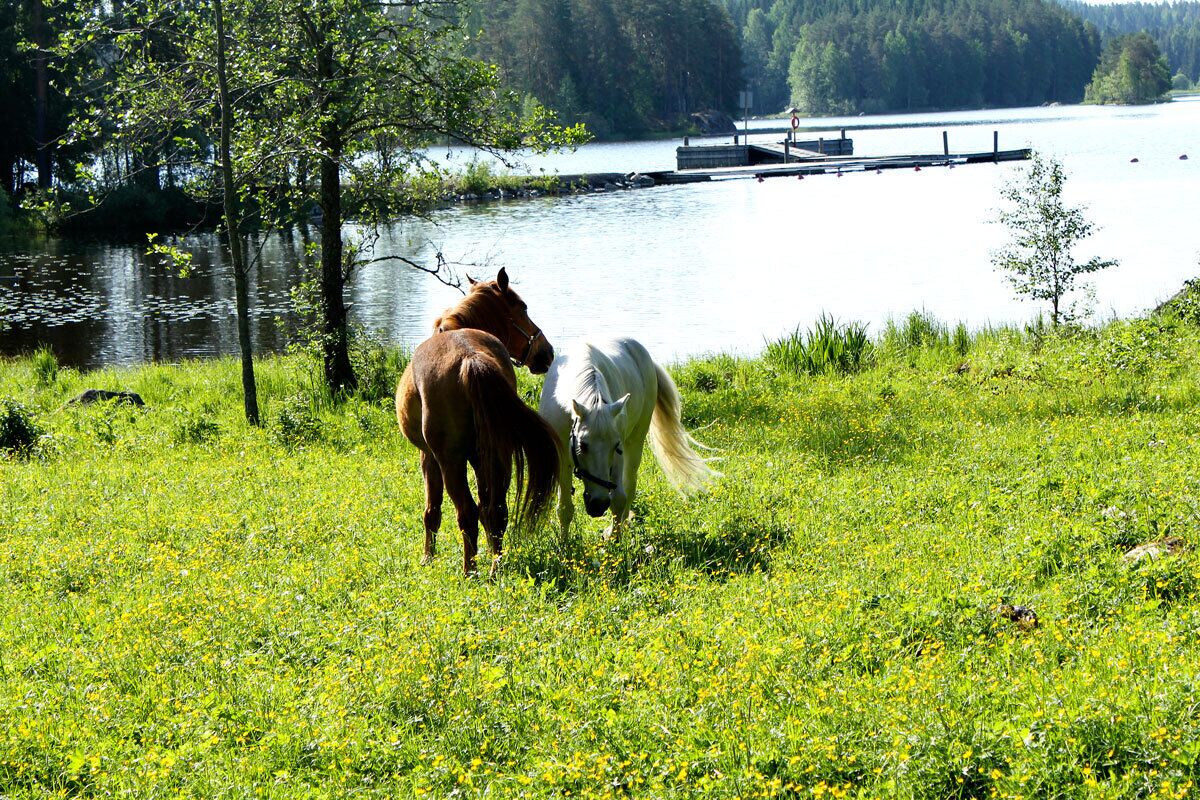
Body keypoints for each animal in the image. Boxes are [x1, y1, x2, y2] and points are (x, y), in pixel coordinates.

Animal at [396, 268, 559, 576]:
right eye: (523, 307)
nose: (547, 353)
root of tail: (470, 359)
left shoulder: (428, 457)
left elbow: (432, 512)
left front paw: (427, 558)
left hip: (452, 461)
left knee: (468, 513)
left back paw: (469, 571)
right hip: (494, 455)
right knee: (494, 511)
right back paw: (496, 567)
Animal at [537, 338, 719, 540]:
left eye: (615, 445)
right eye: (582, 445)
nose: (599, 505)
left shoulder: (619, 453)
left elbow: (619, 499)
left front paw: (615, 539)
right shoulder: (563, 458)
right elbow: (564, 507)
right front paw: (564, 543)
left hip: (636, 441)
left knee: (629, 486)